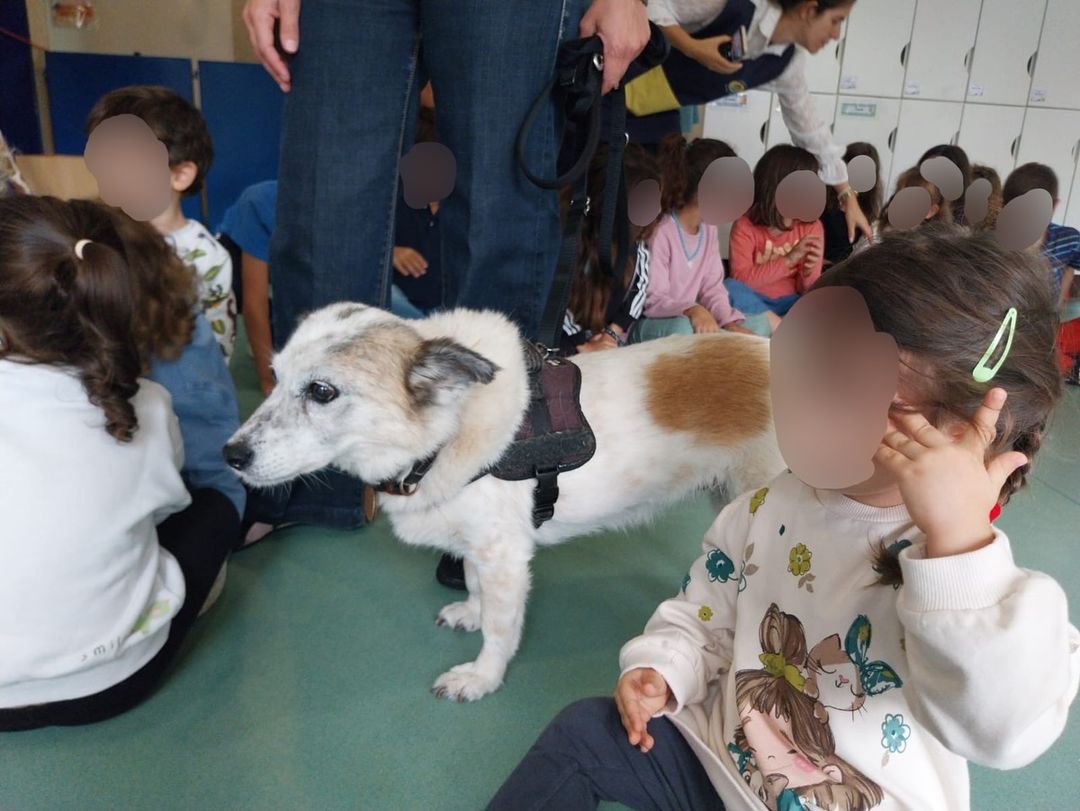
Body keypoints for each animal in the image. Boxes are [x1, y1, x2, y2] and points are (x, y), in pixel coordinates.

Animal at [224, 303, 784, 701]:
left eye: (321, 391)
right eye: (274, 376)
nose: (230, 455)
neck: (447, 433)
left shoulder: (506, 559)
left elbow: (499, 629)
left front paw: (481, 677)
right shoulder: (479, 548)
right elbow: (475, 589)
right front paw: (470, 612)